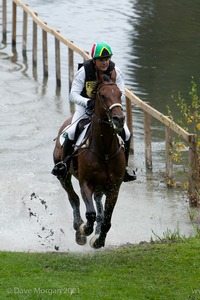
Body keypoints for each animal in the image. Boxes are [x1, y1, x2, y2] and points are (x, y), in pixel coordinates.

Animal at [52, 74, 126, 248]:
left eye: (120, 94)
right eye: (103, 95)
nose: (119, 119)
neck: (104, 150)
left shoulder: (114, 187)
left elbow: (106, 219)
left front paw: (98, 240)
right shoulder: (85, 183)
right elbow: (90, 213)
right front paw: (83, 230)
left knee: (98, 203)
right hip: (63, 176)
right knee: (73, 198)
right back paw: (78, 228)